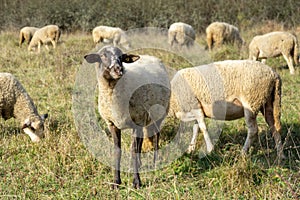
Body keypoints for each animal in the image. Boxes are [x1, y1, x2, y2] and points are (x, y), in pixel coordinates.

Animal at [84, 45, 171, 189]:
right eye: (103, 56)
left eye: (122, 57)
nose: (118, 69)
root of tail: (151, 56)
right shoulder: (112, 124)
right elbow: (118, 151)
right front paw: (116, 181)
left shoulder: (137, 120)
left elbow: (133, 150)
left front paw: (136, 182)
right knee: (141, 141)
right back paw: (139, 163)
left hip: (158, 114)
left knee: (156, 136)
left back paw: (155, 161)